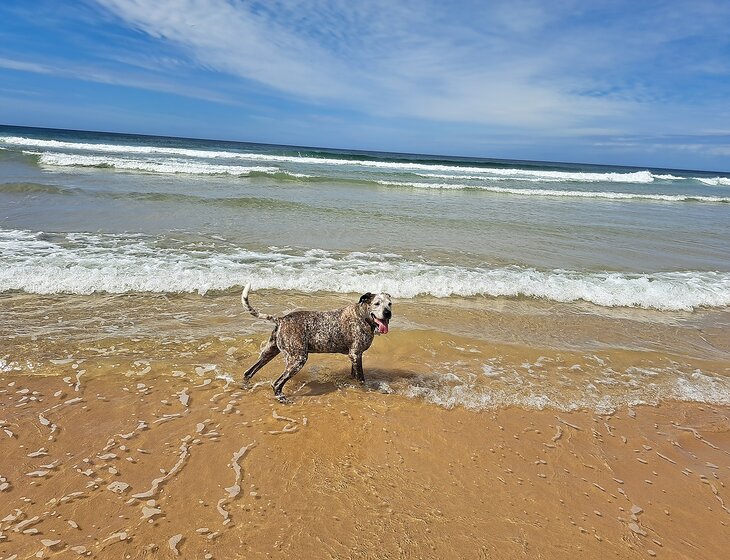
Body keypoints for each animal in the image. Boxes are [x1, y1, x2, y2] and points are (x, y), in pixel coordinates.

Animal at [241, 284, 392, 402]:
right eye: (376, 303)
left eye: (389, 304)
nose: (388, 313)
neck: (362, 316)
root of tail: (281, 319)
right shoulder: (355, 355)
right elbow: (361, 379)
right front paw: (365, 389)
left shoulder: (354, 356)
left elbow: (354, 374)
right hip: (298, 359)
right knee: (277, 384)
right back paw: (282, 398)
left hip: (269, 353)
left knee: (248, 372)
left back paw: (245, 386)